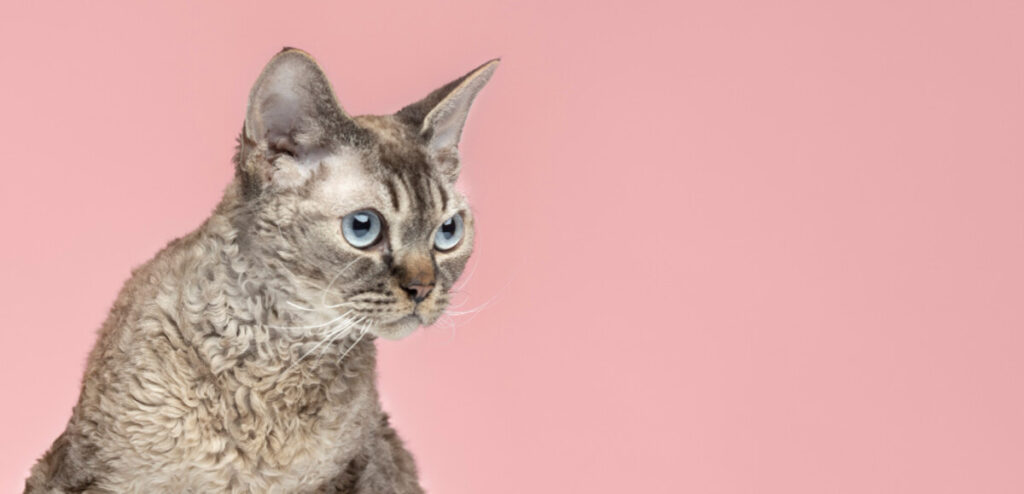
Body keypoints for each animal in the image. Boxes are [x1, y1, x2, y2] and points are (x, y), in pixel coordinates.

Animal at [25, 47, 497, 494]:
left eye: (448, 232)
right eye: (363, 227)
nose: (423, 288)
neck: (278, 351)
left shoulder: (352, 474)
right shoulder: (83, 477)